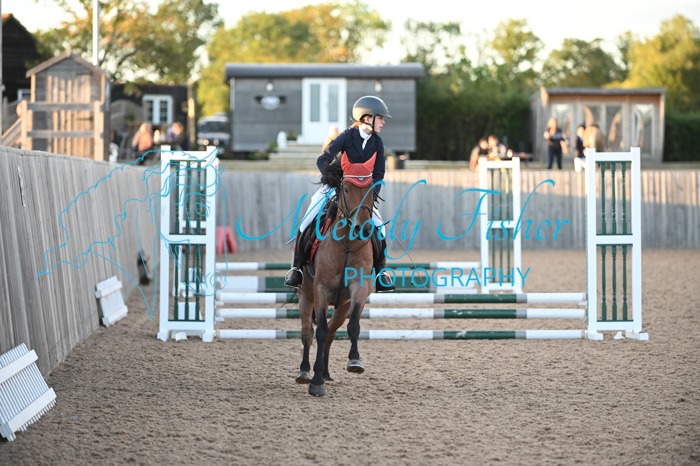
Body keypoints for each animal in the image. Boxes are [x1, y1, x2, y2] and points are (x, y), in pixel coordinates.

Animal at [295, 152, 378, 397]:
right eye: (347, 189)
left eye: (372, 189)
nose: (364, 228)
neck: (347, 244)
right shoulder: (321, 289)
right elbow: (319, 332)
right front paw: (315, 383)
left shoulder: (359, 289)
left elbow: (353, 326)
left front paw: (355, 362)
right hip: (306, 297)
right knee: (308, 332)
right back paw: (305, 372)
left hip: (342, 305)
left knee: (332, 331)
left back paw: (325, 372)